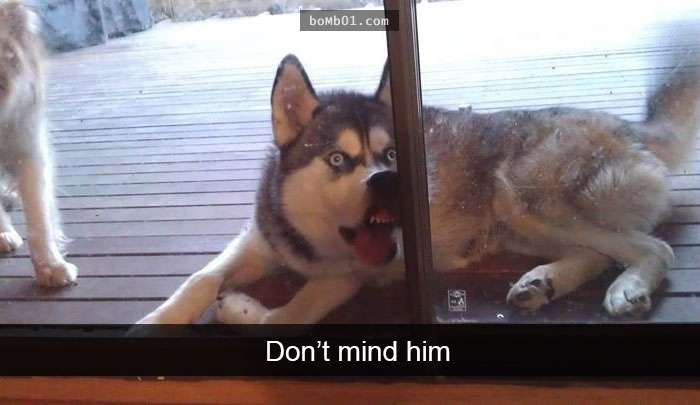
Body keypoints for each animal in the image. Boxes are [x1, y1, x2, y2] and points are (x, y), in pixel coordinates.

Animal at [139, 43, 699, 324]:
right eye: (338, 158)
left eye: (391, 154)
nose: (387, 180)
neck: (311, 243)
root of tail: (631, 127)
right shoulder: (257, 238)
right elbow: (200, 279)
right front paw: (156, 322)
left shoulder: (347, 276)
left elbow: (282, 319)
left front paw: (241, 307)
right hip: (519, 224)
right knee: (599, 251)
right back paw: (542, 283)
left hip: (523, 198)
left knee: (651, 248)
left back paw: (628, 286)